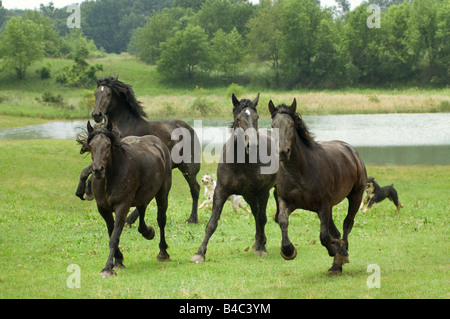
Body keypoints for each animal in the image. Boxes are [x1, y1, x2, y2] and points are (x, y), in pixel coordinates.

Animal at [77, 76, 200, 224]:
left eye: (109, 94)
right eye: (95, 93)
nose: (97, 114)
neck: (125, 125)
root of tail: (190, 129)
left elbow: (90, 170)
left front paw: (87, 191)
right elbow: (86, 170)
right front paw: (83, 191)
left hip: (188, 168)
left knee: (195, 189)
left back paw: (192, 219)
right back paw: (130, 219)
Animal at [80, 120, 171, 278]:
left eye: (108, 145)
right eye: (91, 146)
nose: (97, 170)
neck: (110, 178)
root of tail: (158, 143)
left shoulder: (122, 207)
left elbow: (114, 237)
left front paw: (107, 268)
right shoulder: (103, 209)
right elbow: (111, 233)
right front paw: (118, 261)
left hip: (162, 193)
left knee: (161, 219)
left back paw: (163, 252)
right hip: (143, 193)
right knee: (142, 210)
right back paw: (147, 232)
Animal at [190, 93, 278, 262]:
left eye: (257, 117)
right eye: (238, 118)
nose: (252, 145)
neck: (241, 164)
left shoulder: (263, 192)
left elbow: (262, 218)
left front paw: (262, 249)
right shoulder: (221, 191)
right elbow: (212, 223)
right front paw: (199, 253)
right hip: (249, 196)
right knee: (255, 213)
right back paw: (257, 242)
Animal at [268, 100, 368, 276]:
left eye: (291, 124)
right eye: (273, 125)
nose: (283, 152)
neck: (299, 171)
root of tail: (351, 151)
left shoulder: (323, 204)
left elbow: (324, 236)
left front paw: (336, 251)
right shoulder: (287, 202)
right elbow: (282, 221)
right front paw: (288, 251)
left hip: (355, 196)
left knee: (347, 224)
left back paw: (340, 257)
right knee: (335, 230)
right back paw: (337, 261)